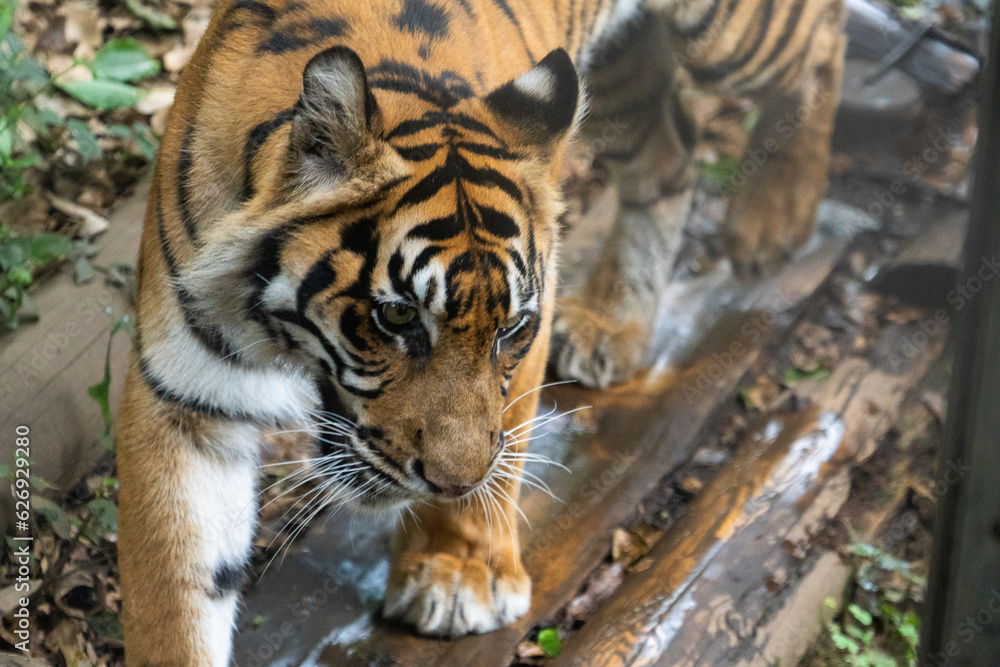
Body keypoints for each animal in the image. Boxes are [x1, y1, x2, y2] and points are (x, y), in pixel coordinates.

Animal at [115, 0, 844, 663]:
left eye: (512, 328)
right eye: (397, 316)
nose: (448, 483)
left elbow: (505, 436)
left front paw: (460, 578)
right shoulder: (184, 399)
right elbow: (176, 597)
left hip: (735, 35)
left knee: (822, 41)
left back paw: (773, 217)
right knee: (671, 150)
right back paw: (615, 323)